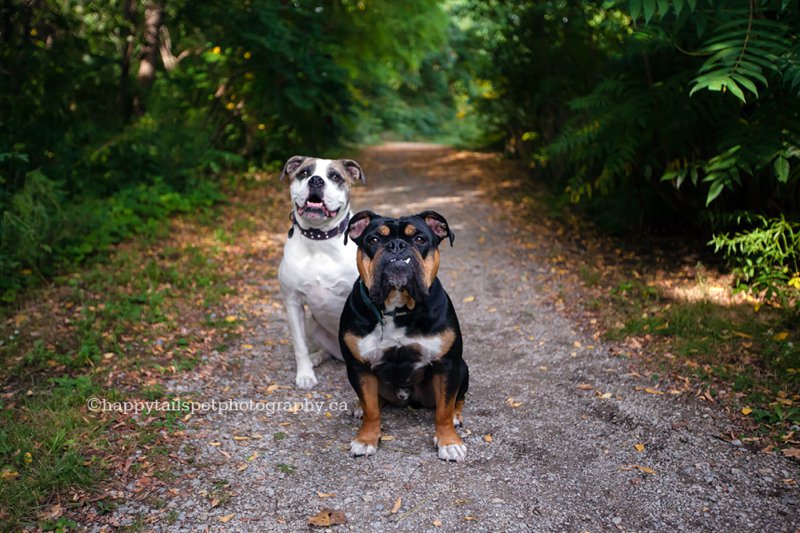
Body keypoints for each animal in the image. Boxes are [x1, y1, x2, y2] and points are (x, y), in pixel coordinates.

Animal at [276, 156, 362, 388]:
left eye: (335, 176)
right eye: (304, 173)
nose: (316, 180)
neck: (319, 240)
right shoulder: (293, 303)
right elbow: (299, 346)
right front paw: (305, 374)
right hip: (312, 324)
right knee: (329, 352)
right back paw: (317, 357)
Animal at [338, 210, 468, 460]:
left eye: (419, 239)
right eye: (373, 240)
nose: (397, 245)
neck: (397, 307)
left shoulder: (448, 365)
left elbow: (444, 410)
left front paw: (448, 442)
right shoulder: (358, 367)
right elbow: (371, 408)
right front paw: (366, 439)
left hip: (462, 368)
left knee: (458, 399)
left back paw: (457, 416)